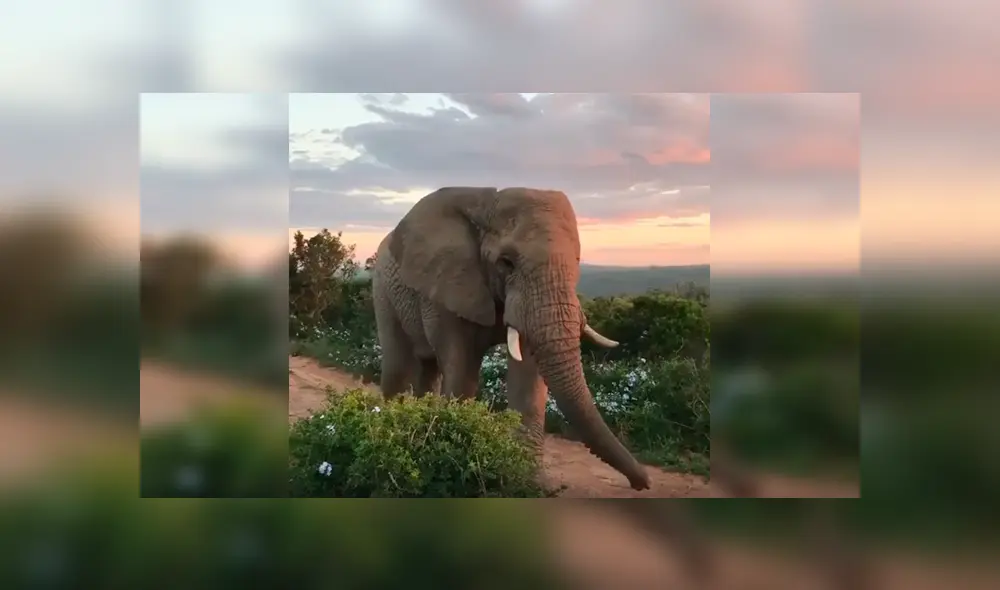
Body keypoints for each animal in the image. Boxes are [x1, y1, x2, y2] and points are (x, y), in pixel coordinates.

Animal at [372, 186, 651, 490]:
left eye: (577, 260)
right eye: (506, 263)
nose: (643, 483)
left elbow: (528, 375)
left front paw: (531, 483)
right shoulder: (447, 284)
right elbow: (461, 368)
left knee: (428, 368)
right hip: (383, 291)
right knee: (400, 365)